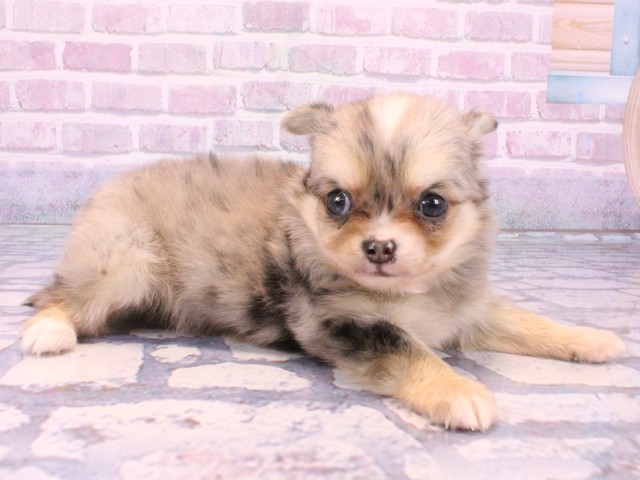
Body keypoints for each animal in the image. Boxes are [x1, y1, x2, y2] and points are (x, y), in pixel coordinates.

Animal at [21, 94, 625, 431]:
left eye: (432, 204)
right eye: (338, 202)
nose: (379, 248)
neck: (409, 293)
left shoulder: (468, 309)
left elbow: (524, 319)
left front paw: (590, 339)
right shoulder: (340, 322)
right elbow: (407, 347)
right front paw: (458, 392)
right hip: (125, 261)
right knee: (63, 296)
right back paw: (48, 330)